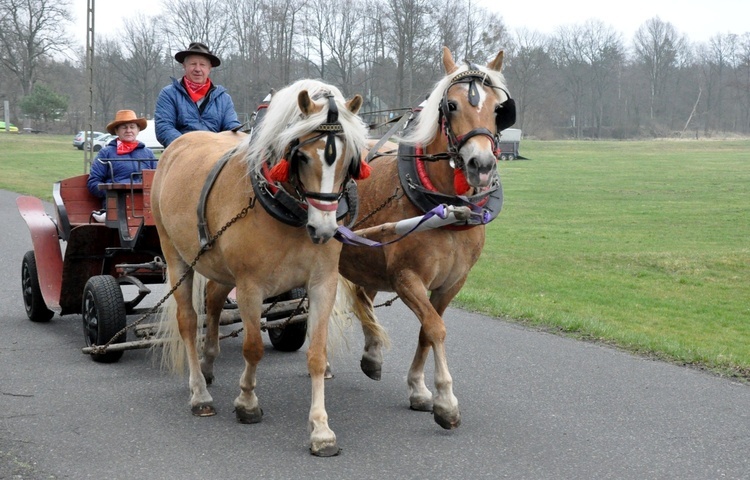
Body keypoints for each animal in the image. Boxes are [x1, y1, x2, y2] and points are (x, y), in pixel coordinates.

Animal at [151, 79, 370, 458]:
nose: (324, 230)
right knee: (189, 321)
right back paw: (199, 392)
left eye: (348, 161)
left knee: (212, 301)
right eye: (302, 156)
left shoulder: (322, 283)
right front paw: (247, 402)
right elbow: (252, 347)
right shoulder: (250, 286)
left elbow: (316, 354)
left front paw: (321, 430)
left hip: (219, 268)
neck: (289, 211)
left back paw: (208, 364)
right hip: (177, 255)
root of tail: (180, 143)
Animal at [340, 47, 516, 432]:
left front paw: (419, 389)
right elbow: (436, 328)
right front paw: (445, 400)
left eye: (500, 108)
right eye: (451, 105)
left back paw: (372, 353)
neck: (447, 209)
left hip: (364, 261)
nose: (481, 164)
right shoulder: (407, 279)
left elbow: (426, 328)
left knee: (362, 298)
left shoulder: (452, 282)